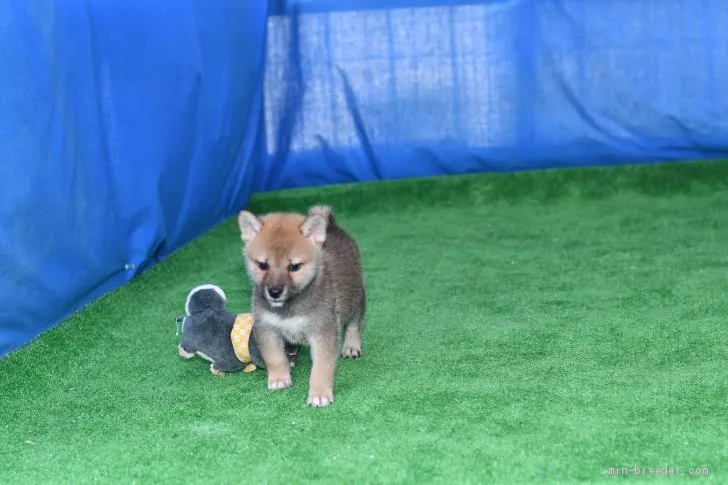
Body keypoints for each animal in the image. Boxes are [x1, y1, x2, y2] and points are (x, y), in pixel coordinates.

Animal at [237, 202, 366, 406]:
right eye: (263, 265)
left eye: (294, 266)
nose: (274, 292)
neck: (289, 308)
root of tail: (332, 226)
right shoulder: (267, 330)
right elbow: (275, 358)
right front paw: (279, 378)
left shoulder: (323, 332)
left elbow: (321, 368)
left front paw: (319, 393)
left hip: (355, 297)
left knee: (354, 323)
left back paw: (351, 346)